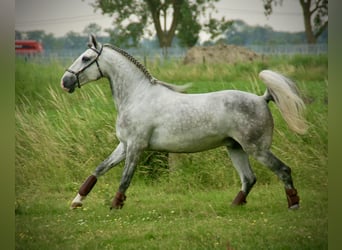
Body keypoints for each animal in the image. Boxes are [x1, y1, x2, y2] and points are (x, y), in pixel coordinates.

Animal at [60, 34, 308, 210]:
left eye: (85, 58)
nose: (65, 81)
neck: (137, 96)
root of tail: (261, 98)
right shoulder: (124, 146)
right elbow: (99, 169)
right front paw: (76, 202)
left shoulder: (136, 147)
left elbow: (125, 179)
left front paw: (115, 206)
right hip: (235, 148)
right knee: (249, 179)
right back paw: (234, 206)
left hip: (257, 149)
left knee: (283, 170)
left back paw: (293, 205)